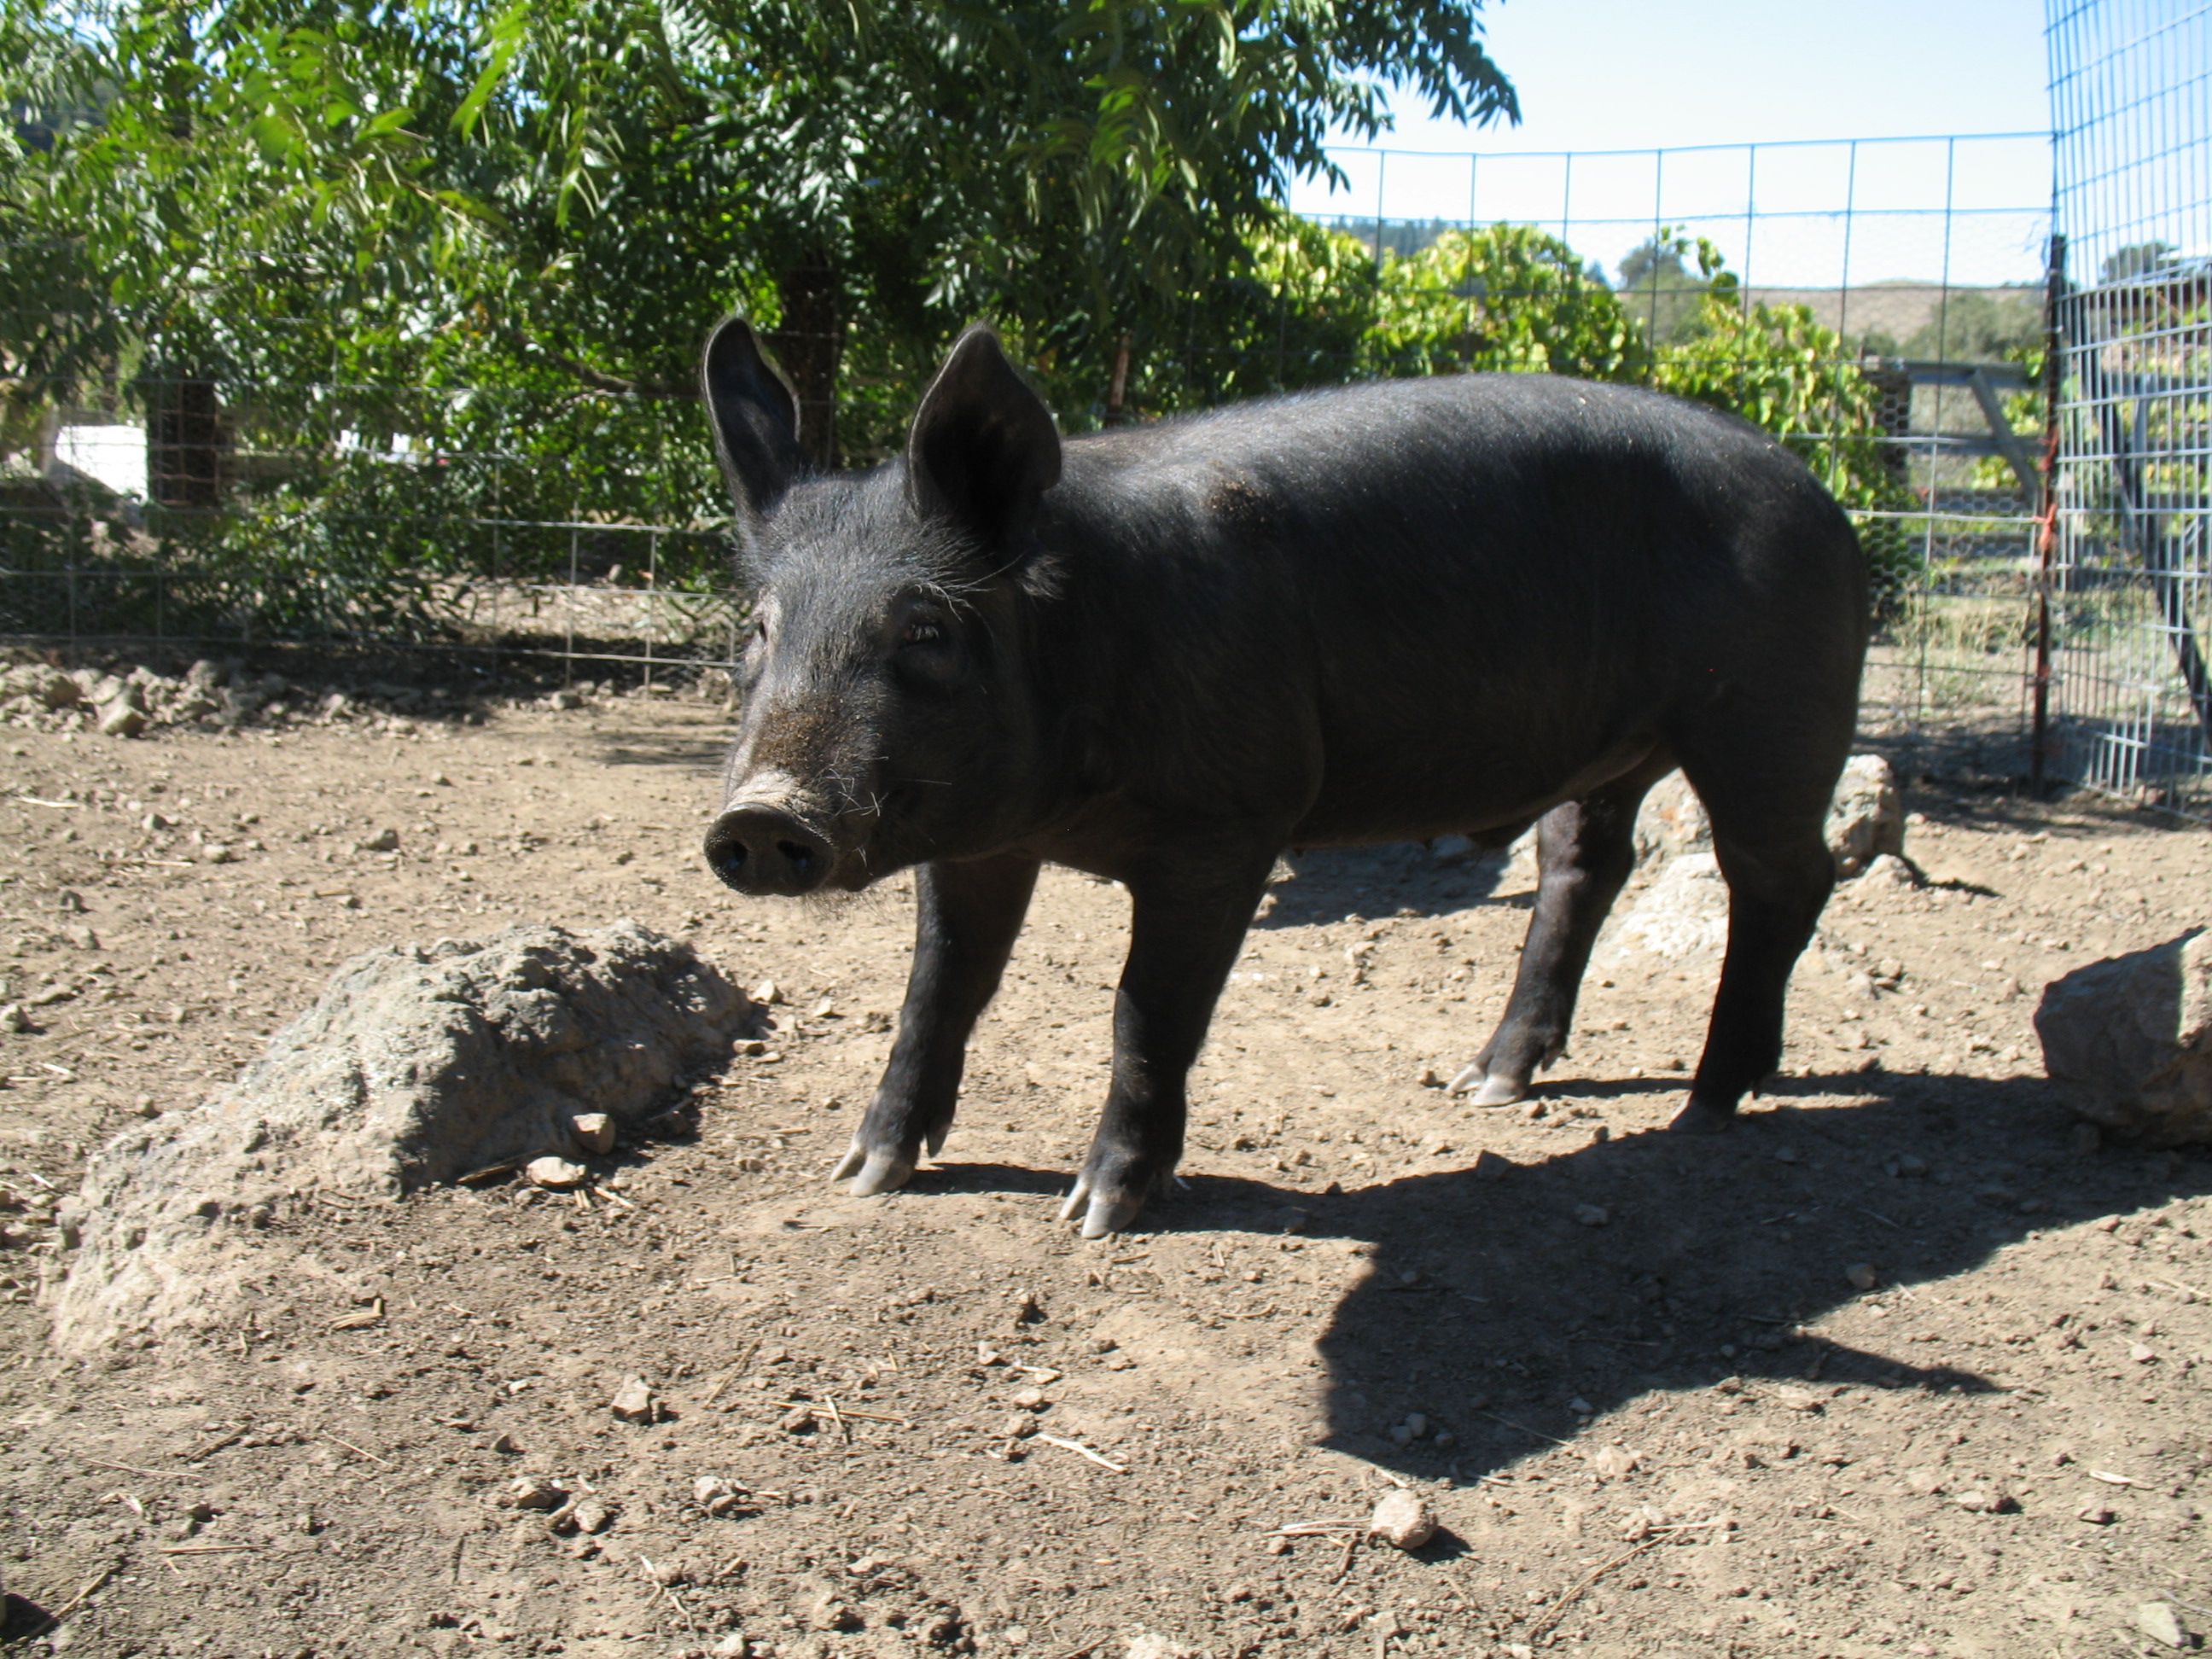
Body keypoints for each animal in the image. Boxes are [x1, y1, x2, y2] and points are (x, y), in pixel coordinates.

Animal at [699, 318, 1869, 1238]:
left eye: (926, 631)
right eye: (758, 629)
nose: (761, 816)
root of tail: (1822, 497)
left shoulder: (1233, 819)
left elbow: (1145, 1012)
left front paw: (1097, 1214)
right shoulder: (980, 841)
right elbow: (940, 986)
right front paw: (863, 1176)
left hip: (1770, 711)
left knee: (1785, 877)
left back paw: (1709, 1104)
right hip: (1619, 748)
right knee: (1585, 863)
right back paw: (1485, 1085)